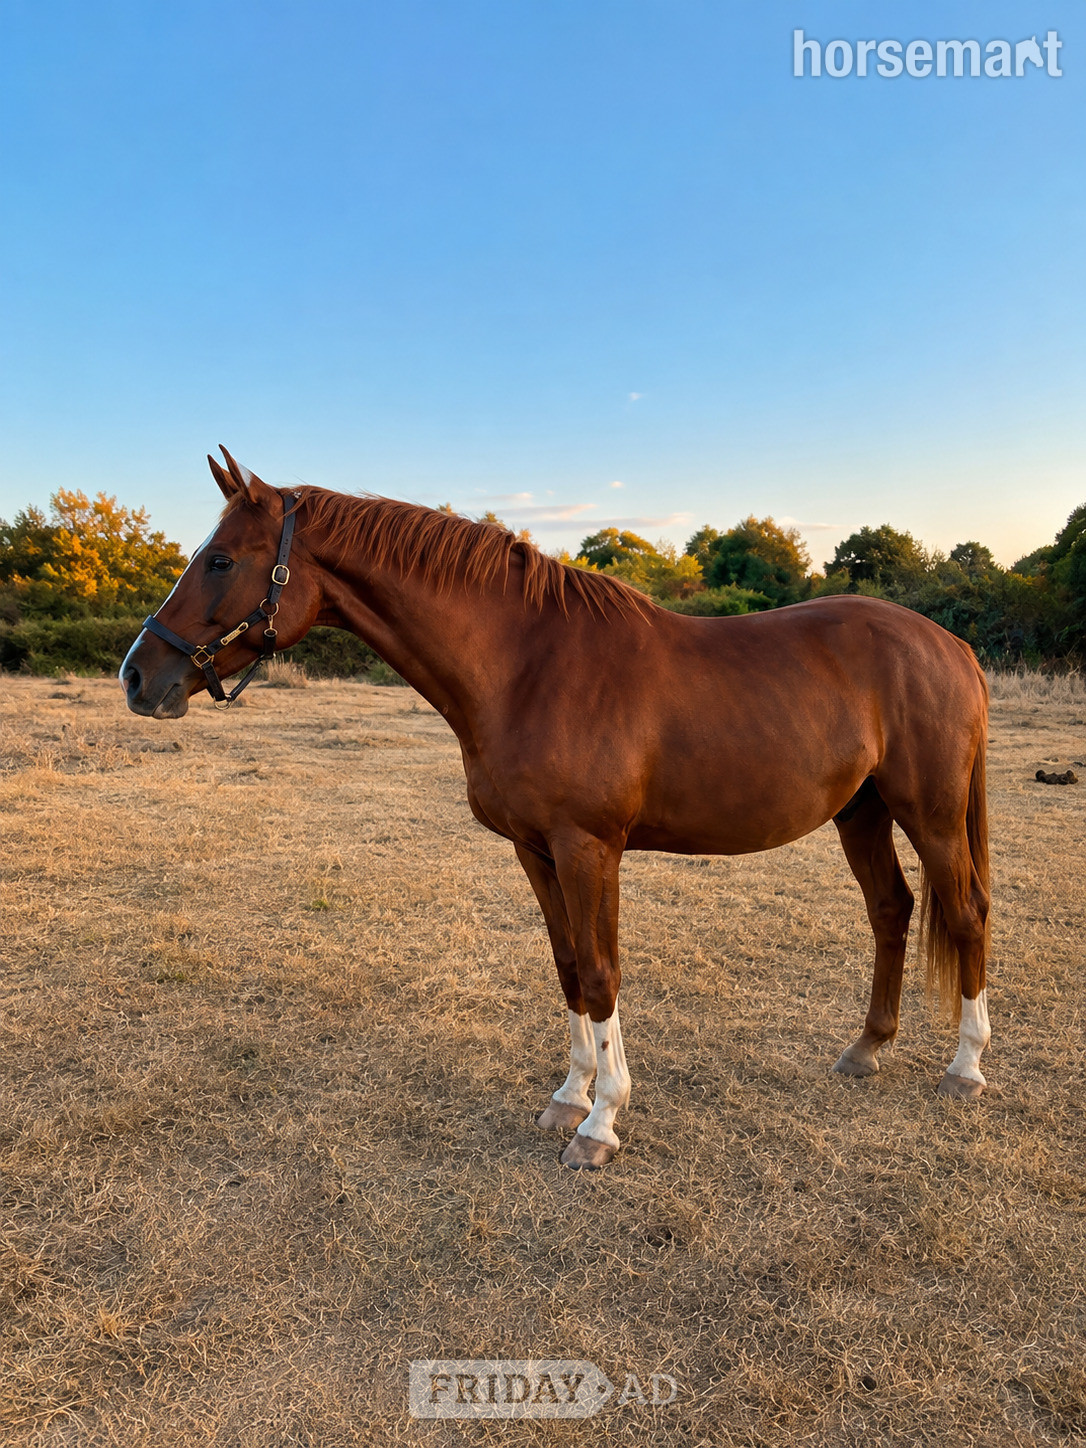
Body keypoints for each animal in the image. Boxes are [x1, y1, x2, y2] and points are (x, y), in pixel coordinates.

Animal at [121, 449, 992, 1168]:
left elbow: (602, 974)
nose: (138, 676)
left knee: (965, 912)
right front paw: (569, 1097)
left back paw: (966, 1068)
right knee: (891, 909)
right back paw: (867, 1049)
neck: (527, 665)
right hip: (862, 812)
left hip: (932, 814)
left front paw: (601, 1124)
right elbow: (568, 966)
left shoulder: (588, 848)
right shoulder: (533, 848)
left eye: (221, 559)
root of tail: (950, 647)